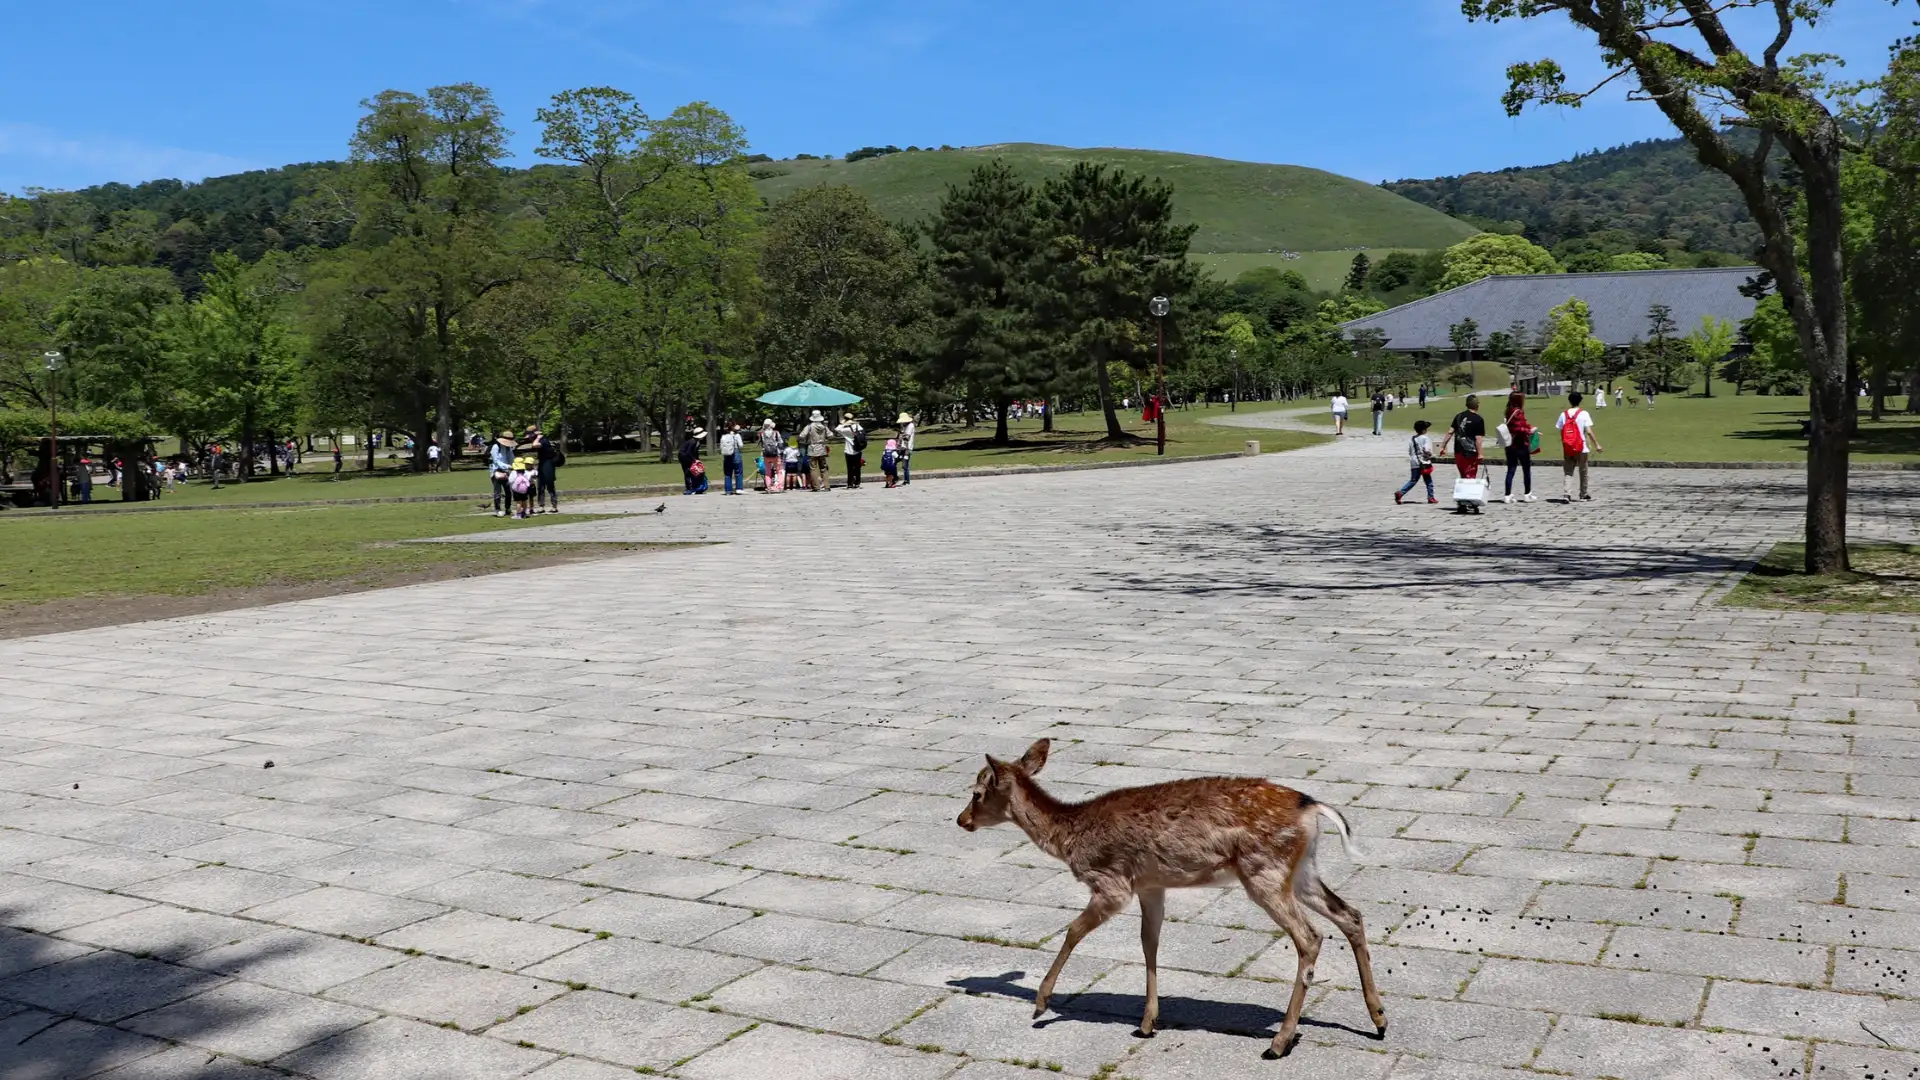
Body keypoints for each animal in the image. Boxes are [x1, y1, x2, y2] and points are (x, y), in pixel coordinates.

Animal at [955, 738, 1384, 1059]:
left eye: (976, 793)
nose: (961, 820)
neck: (1070, 839)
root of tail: (1312, 808)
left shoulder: (1112, 883)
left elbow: (1074, 930)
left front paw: (1042, 1004)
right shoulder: (1151, 885)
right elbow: (1150, 942)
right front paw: (1148, 1023)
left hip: (1264, 872)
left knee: (1310, 936)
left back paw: (1279, 1043)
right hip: (1301, 873)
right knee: (1351, 914)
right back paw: (1378, 1018)